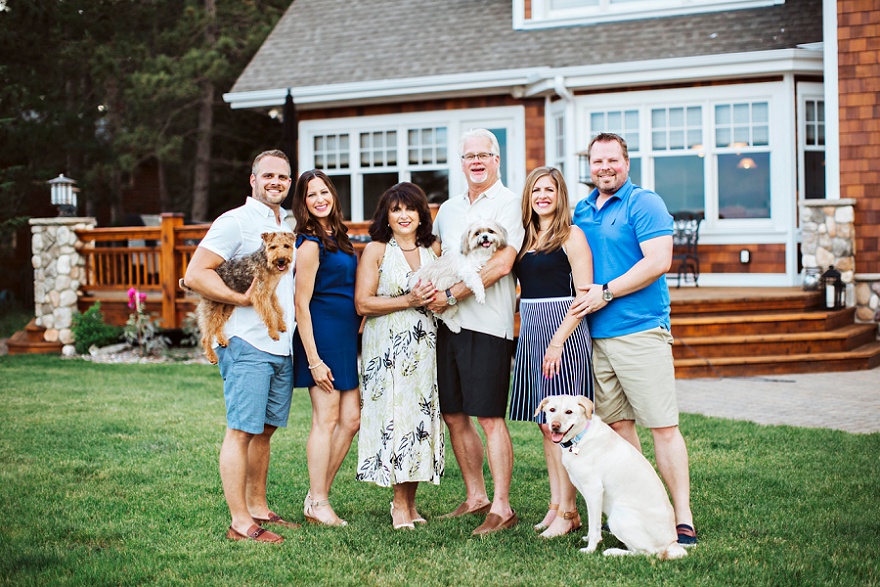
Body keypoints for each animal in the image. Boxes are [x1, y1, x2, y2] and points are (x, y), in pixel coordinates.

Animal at [187, 233, 294, 362]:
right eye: (272, 247)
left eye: (286, 246)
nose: (281, 260)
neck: (265, 261)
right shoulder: (260, 295)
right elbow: (269, 314)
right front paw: (273, 332)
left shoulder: (271, 294)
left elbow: (277, 310)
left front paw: (282, 325)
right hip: (212, 310)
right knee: (205, 337)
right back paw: (212, 356)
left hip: (226, 308)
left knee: (218, 326)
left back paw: (222, 340)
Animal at [536, 396, 688, 560]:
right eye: (552, 410)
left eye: (569, 411)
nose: (555, 425)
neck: (580, 437)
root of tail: (672, 544)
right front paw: (587, 539)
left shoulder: (594, 490)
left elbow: (594, 526)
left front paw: (590, 549)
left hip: (618, 515)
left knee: (648, 553)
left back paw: (613, 552)